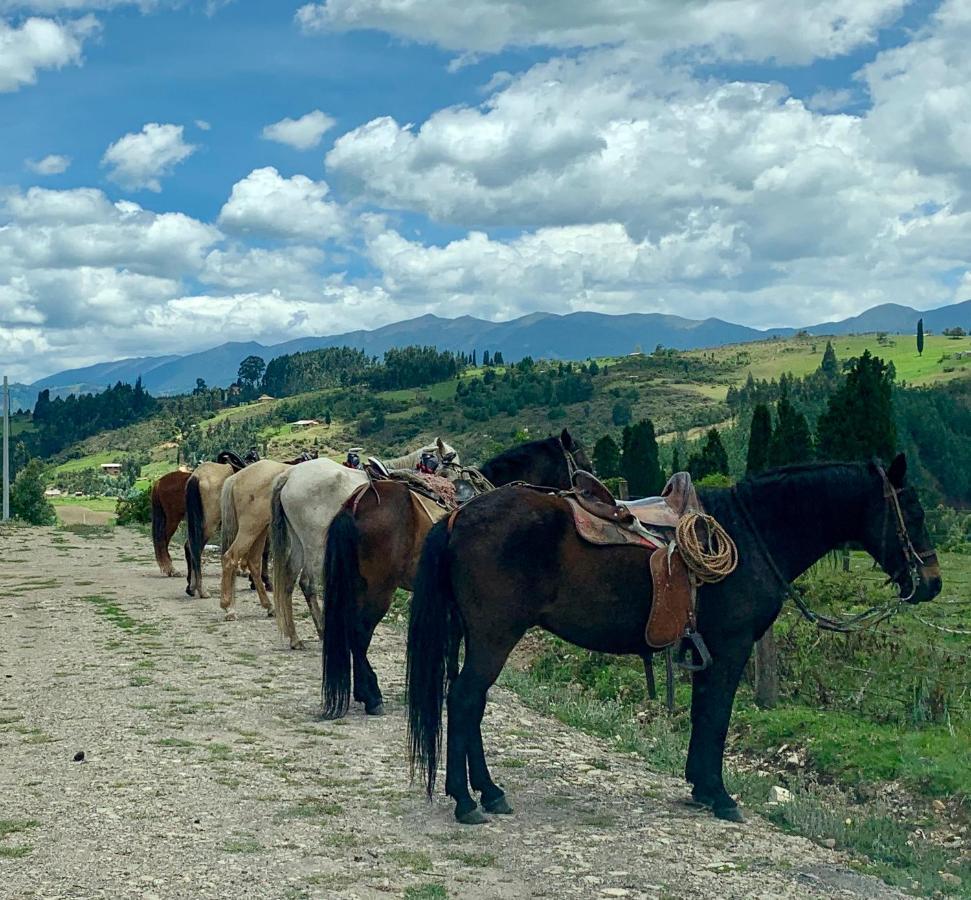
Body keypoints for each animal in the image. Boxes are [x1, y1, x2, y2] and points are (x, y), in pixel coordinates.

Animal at [270, 442, 460, 648]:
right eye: (452, 462)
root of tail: (290, 475)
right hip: (315, 545)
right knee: (307, 583)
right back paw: (321, 631)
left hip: (299, 542)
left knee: (289, 580)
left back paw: (294, 638)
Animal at [408, 458, 940, 824]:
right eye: (911, 512)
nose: (931, 583)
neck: (753, 534)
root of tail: (459, 517)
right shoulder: (731, 649)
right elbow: (717, 717)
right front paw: (720, 795)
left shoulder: (710, 651)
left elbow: (704, 714)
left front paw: (701, 787)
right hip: (494, 637)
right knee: (465, 700)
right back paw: (466, 800)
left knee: (470, 702)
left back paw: (489, 792)